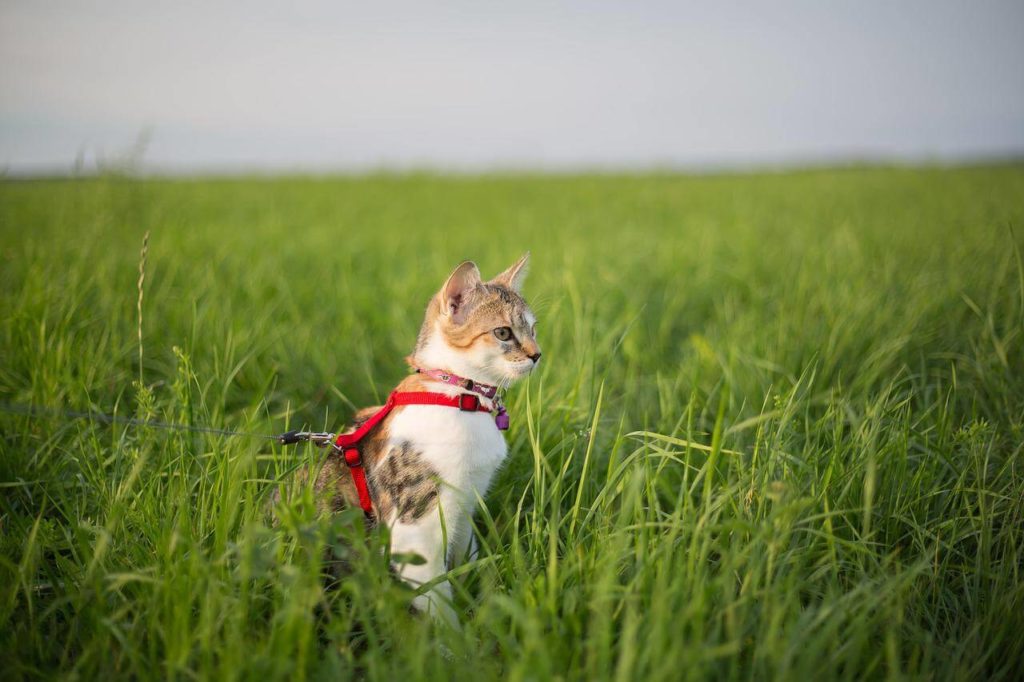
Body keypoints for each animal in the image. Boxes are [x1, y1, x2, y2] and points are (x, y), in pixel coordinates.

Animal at [286, 253, 536, 622]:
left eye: (533, 329)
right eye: (503, 332)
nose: (537, 354)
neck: (459, 395)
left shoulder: (465, 508)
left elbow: (467, 559)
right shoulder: (415, 529)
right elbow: (437, 599)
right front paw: (456, 637)